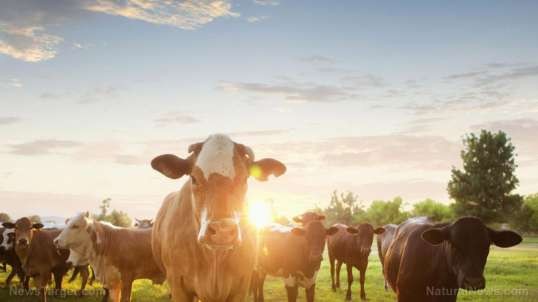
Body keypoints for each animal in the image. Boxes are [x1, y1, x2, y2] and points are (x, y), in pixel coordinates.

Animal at [150, 134, 284, 302]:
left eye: (245, 179)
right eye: (194, 178)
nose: (222, 231)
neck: (214, 258)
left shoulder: (242, 285)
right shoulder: (177, 285)